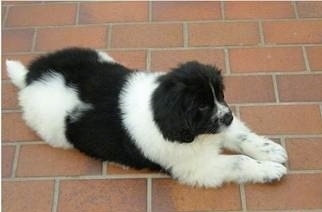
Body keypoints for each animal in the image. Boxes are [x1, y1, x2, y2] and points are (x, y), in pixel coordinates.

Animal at [6, 48, 286, 187]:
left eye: (219, 95)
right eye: (201, 106)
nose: (227, 117)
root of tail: (32, 76)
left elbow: (241, 137)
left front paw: (270, 151)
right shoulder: (195, 166)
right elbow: (238, 161)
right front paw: (270, 170)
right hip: (50, 129)